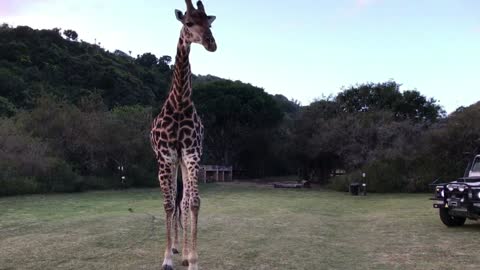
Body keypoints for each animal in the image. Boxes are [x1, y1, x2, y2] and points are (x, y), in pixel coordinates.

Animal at [150, 1, 218, 268]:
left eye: (209, 23)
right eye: (188, 22)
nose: (211, 43)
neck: (179, 103)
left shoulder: (191, 154)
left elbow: (193, 202)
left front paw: (193, 258)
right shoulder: (166, 155)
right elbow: (168, 204)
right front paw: (167, 257)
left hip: (183, 162)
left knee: (184, 201)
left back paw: (184, 251)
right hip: (171, 162)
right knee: (174, 201)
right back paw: (175, 248)